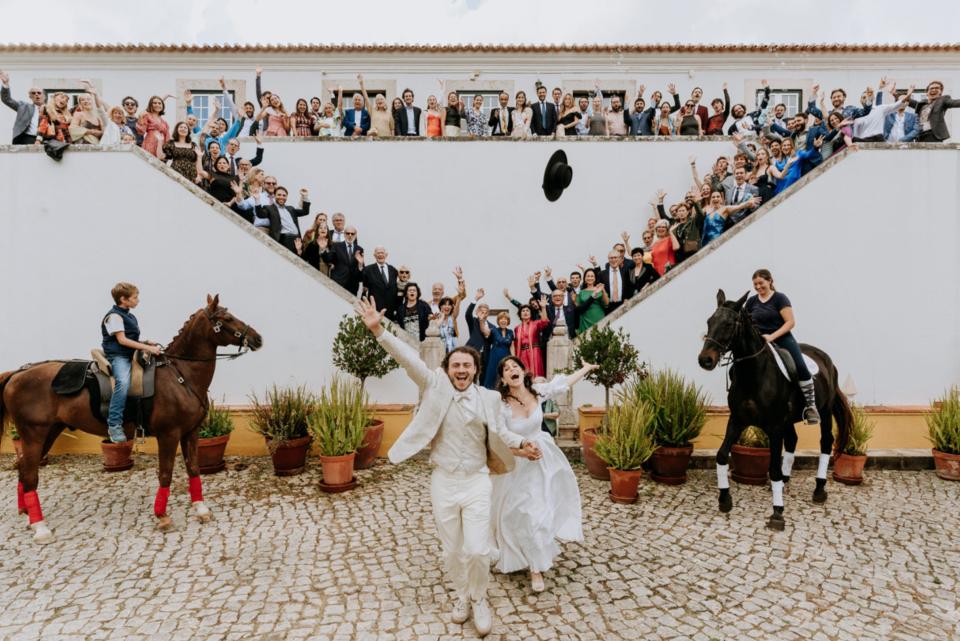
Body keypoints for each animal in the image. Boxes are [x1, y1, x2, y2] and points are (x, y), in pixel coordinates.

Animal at [0, 294, 262, 540]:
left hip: (49, 432)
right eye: (226, 318)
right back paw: (40, 527)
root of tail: (17, 374)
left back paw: (27, 514)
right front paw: (162, 516)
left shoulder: (190, 432)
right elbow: (165, 473)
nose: (257, 338)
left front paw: (201, 509)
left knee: (23, 469)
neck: (180, 375)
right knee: (30, 474)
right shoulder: (169, 435)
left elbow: (194, 468)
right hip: (34, 434)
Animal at [696, 290, 848, 528]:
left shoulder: (774, 427)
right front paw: (725, 499)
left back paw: (819, 489)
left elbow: (774, 468)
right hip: (788, 420)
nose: (705, 360)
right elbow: (721, 456)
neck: (754, 374)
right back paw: (785, 483)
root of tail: (827, 361)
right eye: (709, 321)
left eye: (729, 324)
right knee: (793, 440)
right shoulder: (737, 420)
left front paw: (777, 513)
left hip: (824, 411)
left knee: (825, 442)